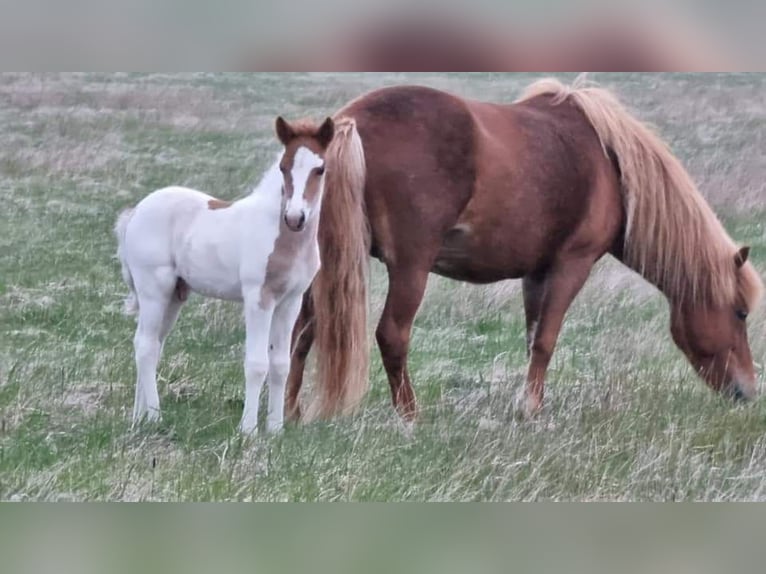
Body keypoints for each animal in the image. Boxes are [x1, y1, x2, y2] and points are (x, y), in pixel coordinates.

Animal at [115, 117, 336, 434]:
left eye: (320, 169)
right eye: (283, 167)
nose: (295, 218)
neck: (285, 240)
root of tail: (135, 213)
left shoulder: (290, 302)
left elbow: (281, 364)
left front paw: (276, 429)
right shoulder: (258, 298)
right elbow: (256, 363)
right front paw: (249, 430)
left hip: (175, 295)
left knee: (151, 344)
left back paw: (139, 417)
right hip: (154, 289)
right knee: (145, 346)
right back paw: (155, 417)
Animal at [284, 77, 764, 424]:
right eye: (740, 313)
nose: (747, 392)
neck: (611, 165)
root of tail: (348, 125)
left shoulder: (535, 272)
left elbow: (533, 337)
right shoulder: (571, 265)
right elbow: (547, 340)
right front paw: (532, 409)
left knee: (301, 334)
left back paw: (289, 415)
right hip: (410, 268)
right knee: (391, 335)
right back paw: (409, 418)